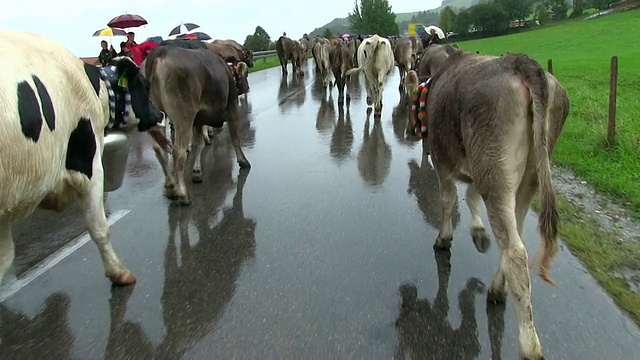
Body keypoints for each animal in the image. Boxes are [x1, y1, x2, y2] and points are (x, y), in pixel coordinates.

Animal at [0, 29, 165, 288]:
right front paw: (119, 272)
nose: (161, 115)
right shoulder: (90, 167)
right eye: (145, 86)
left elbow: (5, 257)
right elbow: (99, 227)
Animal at [116, 44, 251, 205]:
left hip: (158, 113)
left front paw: (197, 172)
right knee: (178, 152)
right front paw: (243, 161)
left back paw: (170, 184)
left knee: (159, 149)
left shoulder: (198, 119)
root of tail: (160, 52)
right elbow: (235, 136)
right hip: (183, 114)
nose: (247, 88)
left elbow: (198, 144)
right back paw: (183, 194)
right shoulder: (231, 107)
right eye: (245, 74)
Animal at [420, 43, 568, 358]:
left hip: (493, 168)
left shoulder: (443, 160)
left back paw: (529, 346)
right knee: (516, 237)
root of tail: (519, 63)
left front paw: (444, 239)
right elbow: (470, 197)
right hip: (526, 177)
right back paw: (496, 289)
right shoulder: (473, 170)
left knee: (515, 252)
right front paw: (478, 234)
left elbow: (448, 199)